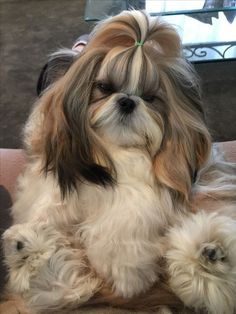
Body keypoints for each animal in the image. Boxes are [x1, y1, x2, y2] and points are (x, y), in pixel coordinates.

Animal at [2, 9, 236, 314]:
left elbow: (127, 218)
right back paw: (26, 249)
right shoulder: (49, 189)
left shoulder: (143, 195)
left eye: (150, 98)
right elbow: (50, 212)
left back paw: (210, 251)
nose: (127, 101)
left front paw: (124, 271)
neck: (108, 156)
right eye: (103, 87)